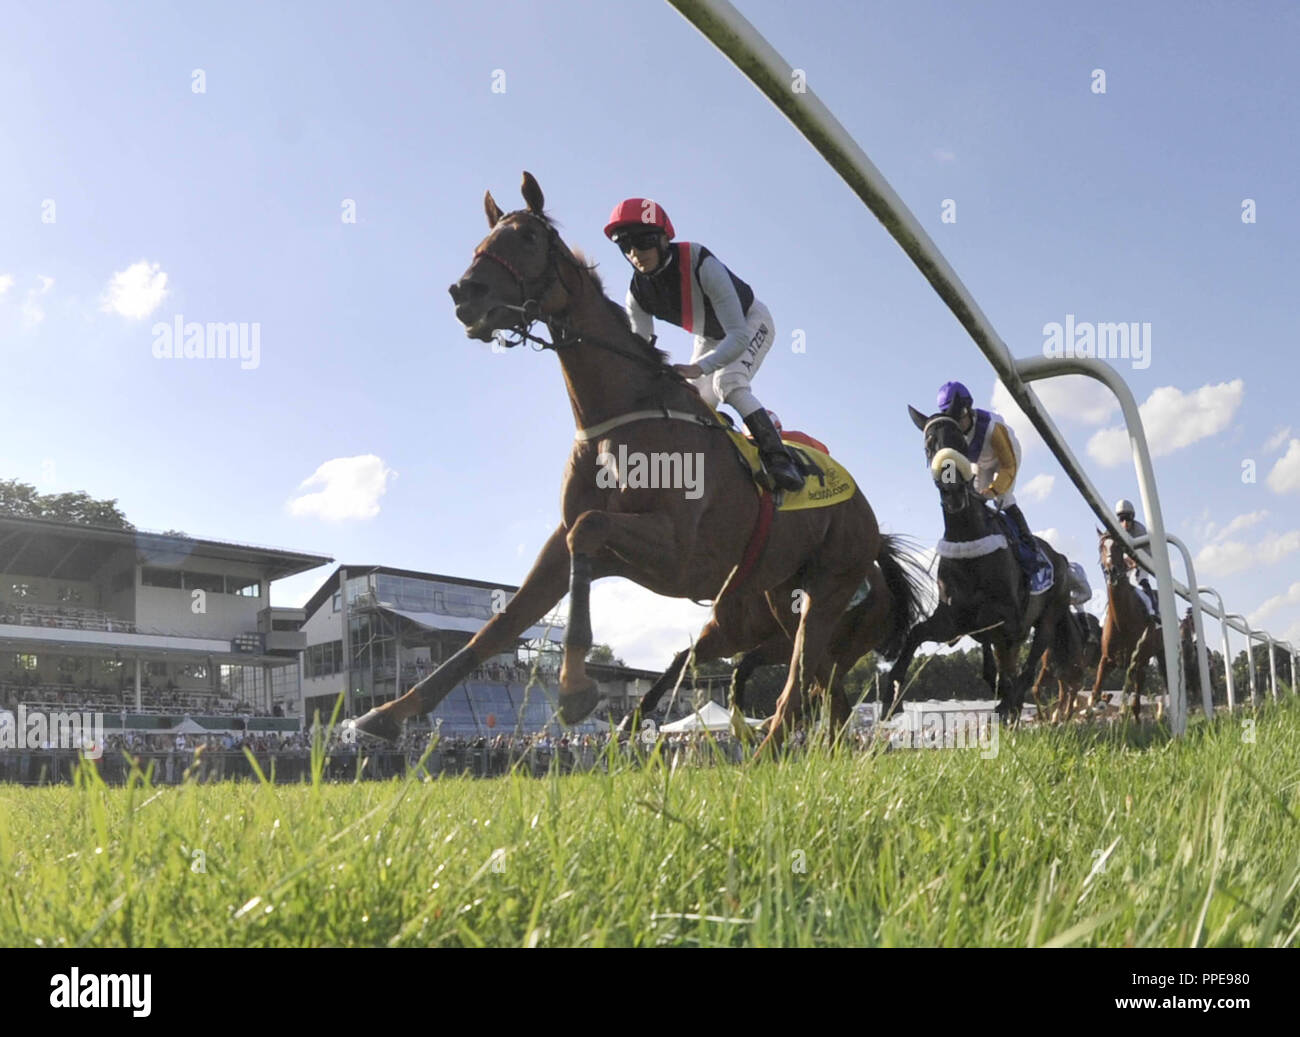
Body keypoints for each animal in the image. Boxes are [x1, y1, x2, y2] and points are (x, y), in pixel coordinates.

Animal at [356, 170, 925, 753]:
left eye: (529, 238)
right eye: (483, 240)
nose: (465, 294)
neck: (619, 419)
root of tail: (869, 519)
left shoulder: (679, 552)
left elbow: (588, 528)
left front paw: (575, 690)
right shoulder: (576, 546)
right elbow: (504, 622)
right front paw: (390, 712)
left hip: (829, 588)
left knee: (802, 677)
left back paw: (769, 746)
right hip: (778, 595)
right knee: (820, 686)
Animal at [883, 405, 1086, 722]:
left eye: (961, 443)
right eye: (929, 444)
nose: (953, 491)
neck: (969, 542)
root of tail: (1062, 559)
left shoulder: (1008, 619)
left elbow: (998, 642)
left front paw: (1005, 696)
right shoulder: (951, 618)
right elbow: (916, 634)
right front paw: (890, 696)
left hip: (1048, 617)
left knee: (1028, 667)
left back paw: (1010, 702)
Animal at [1092, 532, 1164, 717]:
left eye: (1119, 546)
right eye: (1101, 547)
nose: (1111, 570)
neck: (1122, 621)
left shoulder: (1139, 662)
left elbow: (1136, 705)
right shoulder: (1106, 660)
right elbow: (1095, 692)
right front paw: (1100, 703)